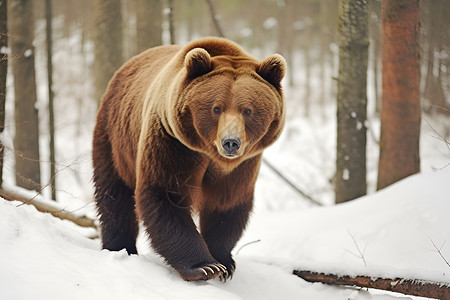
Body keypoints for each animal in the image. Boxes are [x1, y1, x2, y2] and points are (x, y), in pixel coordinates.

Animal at [92, 37, 284, 282]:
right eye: (216, 108)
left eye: (248, 110)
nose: (231, 142)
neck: (210, 155)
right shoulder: (172, 141)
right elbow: (166, 194)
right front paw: (204, 266)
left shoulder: (242, 165)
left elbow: (226, 203)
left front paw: (223, 261)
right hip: (114, 137)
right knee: (114, 194)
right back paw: (120, 247)